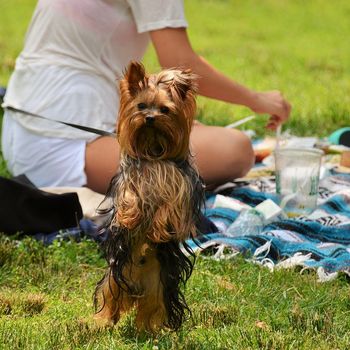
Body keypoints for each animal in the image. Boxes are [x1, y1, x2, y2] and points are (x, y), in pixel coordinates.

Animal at [94, 61, 206, 332]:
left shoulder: (181, 189)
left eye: (165, 109)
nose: (150, 118)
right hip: (114, 276)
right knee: (109, 297)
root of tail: (135, 286)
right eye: (141, 106)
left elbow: (169, 207)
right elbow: (130, 197)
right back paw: (103, 321)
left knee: (153, 308)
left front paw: (157, 229)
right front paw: (129, 217)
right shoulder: (129, 180)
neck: (154, 152)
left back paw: (147, 329)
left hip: (160, 285)